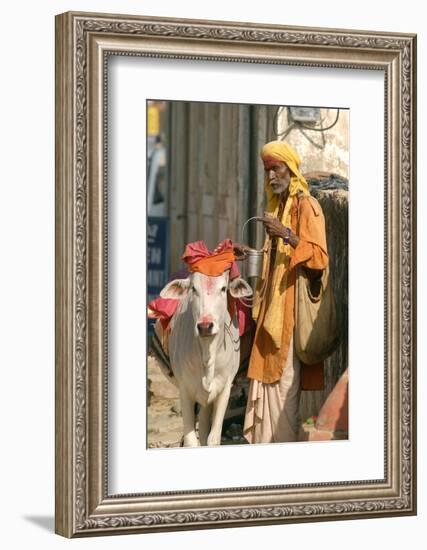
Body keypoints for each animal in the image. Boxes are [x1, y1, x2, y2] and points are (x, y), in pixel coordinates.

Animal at [160, 272, 254, 448]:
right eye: (193, 289)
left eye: (223, 288)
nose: (205, 326)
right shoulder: (185, 390)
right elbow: (190, 440)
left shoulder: (224, 389)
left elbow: (213, 438)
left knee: (204, 429)